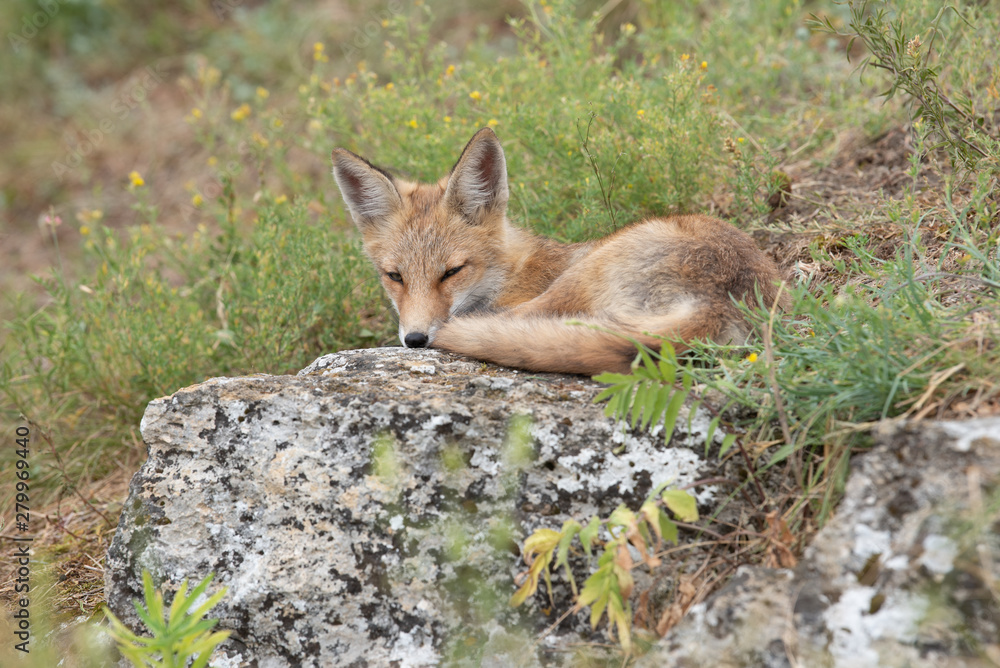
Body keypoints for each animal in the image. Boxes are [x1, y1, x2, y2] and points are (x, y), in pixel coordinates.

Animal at [331, 127, 787, 376]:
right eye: (395, 276)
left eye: (452, 271)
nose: (415, 340)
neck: (509, 273)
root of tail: (720, 300)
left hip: (580, 276)